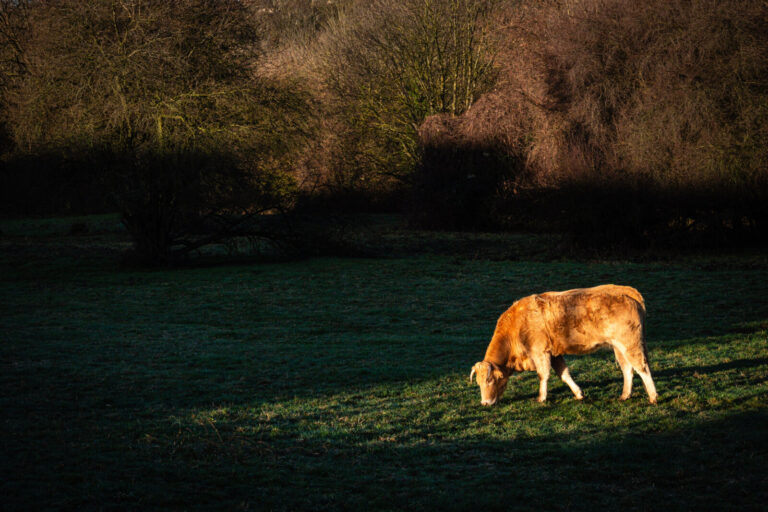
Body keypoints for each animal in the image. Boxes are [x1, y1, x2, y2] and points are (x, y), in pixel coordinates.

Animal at [470, 284, 657, 405]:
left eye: (490, 380)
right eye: (478, 382)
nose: (485, 402)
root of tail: (628, 292)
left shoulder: (540, 352)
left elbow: (543, 375)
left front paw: (541, 398)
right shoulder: (554, 354)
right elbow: (564, 375)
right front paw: (579, 394)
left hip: (630, 344)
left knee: (642, 368)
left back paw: (653, 397)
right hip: (618, 347)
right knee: (628, 369)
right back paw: (625, 395)